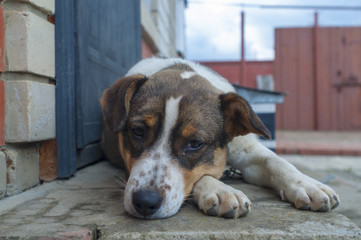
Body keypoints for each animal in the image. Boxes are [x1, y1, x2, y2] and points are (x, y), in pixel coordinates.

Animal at [100, 58, 338, 219]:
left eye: (195, 144)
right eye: (138, 131)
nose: (145, 202)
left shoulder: (245, 149)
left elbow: (276, 161)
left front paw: (306, 184)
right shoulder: (127, 167)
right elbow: (202, 175)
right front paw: (222, 190)